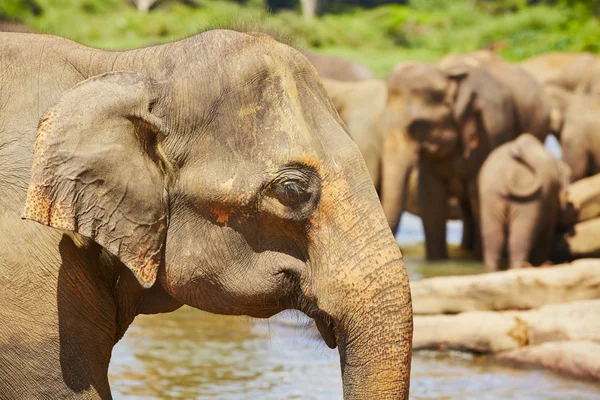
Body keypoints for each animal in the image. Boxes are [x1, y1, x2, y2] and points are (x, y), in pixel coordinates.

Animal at [382, 59, 524, 260]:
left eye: (416, 125)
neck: (445, 74)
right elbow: (431, 196)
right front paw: (436, 261)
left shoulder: (488, 133)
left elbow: (477, 191)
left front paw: (478, 260)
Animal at [478, 134, 568, 272]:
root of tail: (512, 171)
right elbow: (546, 236)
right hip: (533, 200)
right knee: (520, 240)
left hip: (491, 194)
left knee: (494, 239)